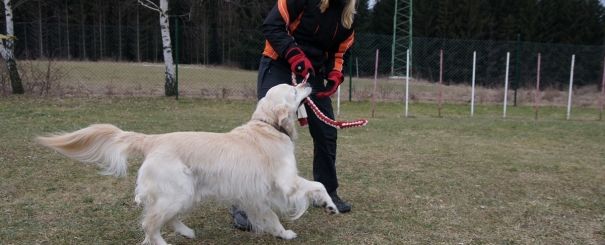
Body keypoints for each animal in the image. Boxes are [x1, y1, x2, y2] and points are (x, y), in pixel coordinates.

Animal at [37, 83, 340, 244]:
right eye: (293, 90)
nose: (308, 82)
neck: (268, 126)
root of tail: (152, 140)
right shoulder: (286, 183)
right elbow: (318, 184)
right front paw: (330, 206)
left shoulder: (257, 193)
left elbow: (271, 217)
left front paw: (283, 233)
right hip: (178, 191)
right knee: (150, 224)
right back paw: (162, 242)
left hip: (187, 191)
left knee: (166, 218)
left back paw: (187, 231)